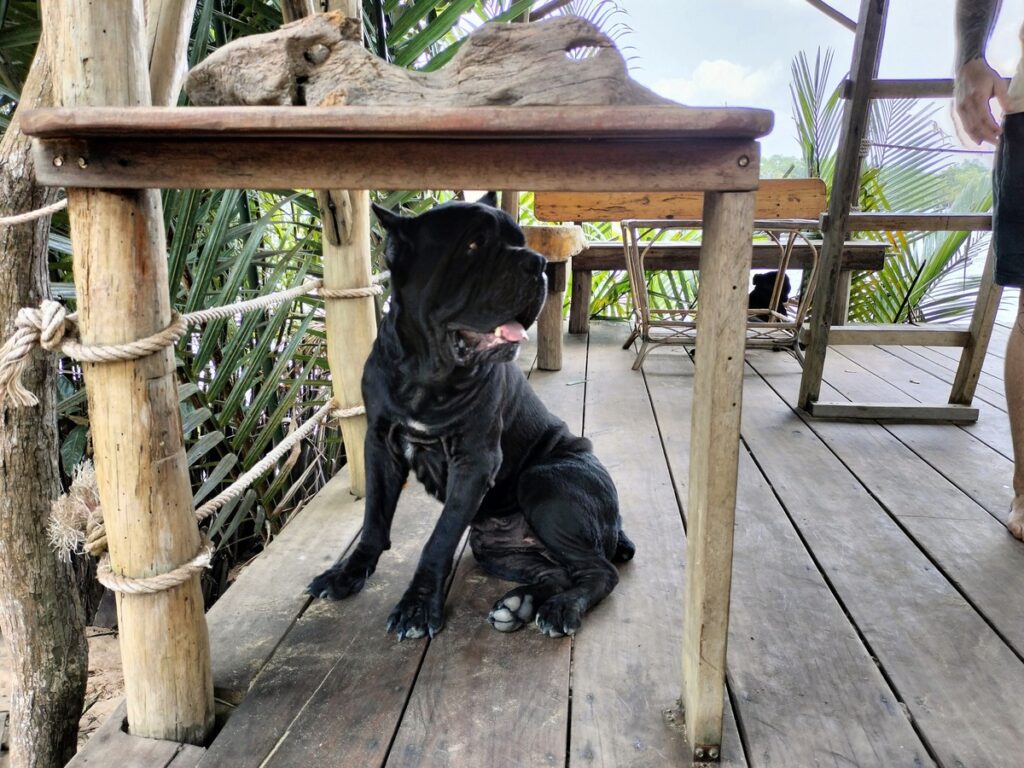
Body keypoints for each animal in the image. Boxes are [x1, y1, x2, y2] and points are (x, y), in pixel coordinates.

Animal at [307, 195, 630, 638]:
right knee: (560, 572)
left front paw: (416, 606)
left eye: (520, 241)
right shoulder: (380, 444)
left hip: (545, 483)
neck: (426, 373)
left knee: (599, 571)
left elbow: (439, 540)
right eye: (473, 246)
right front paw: (346, 574)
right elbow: (374, 518)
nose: (537, 263)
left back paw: (560, 609)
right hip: (497, 546)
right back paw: (519, 603)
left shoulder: (474, 461)